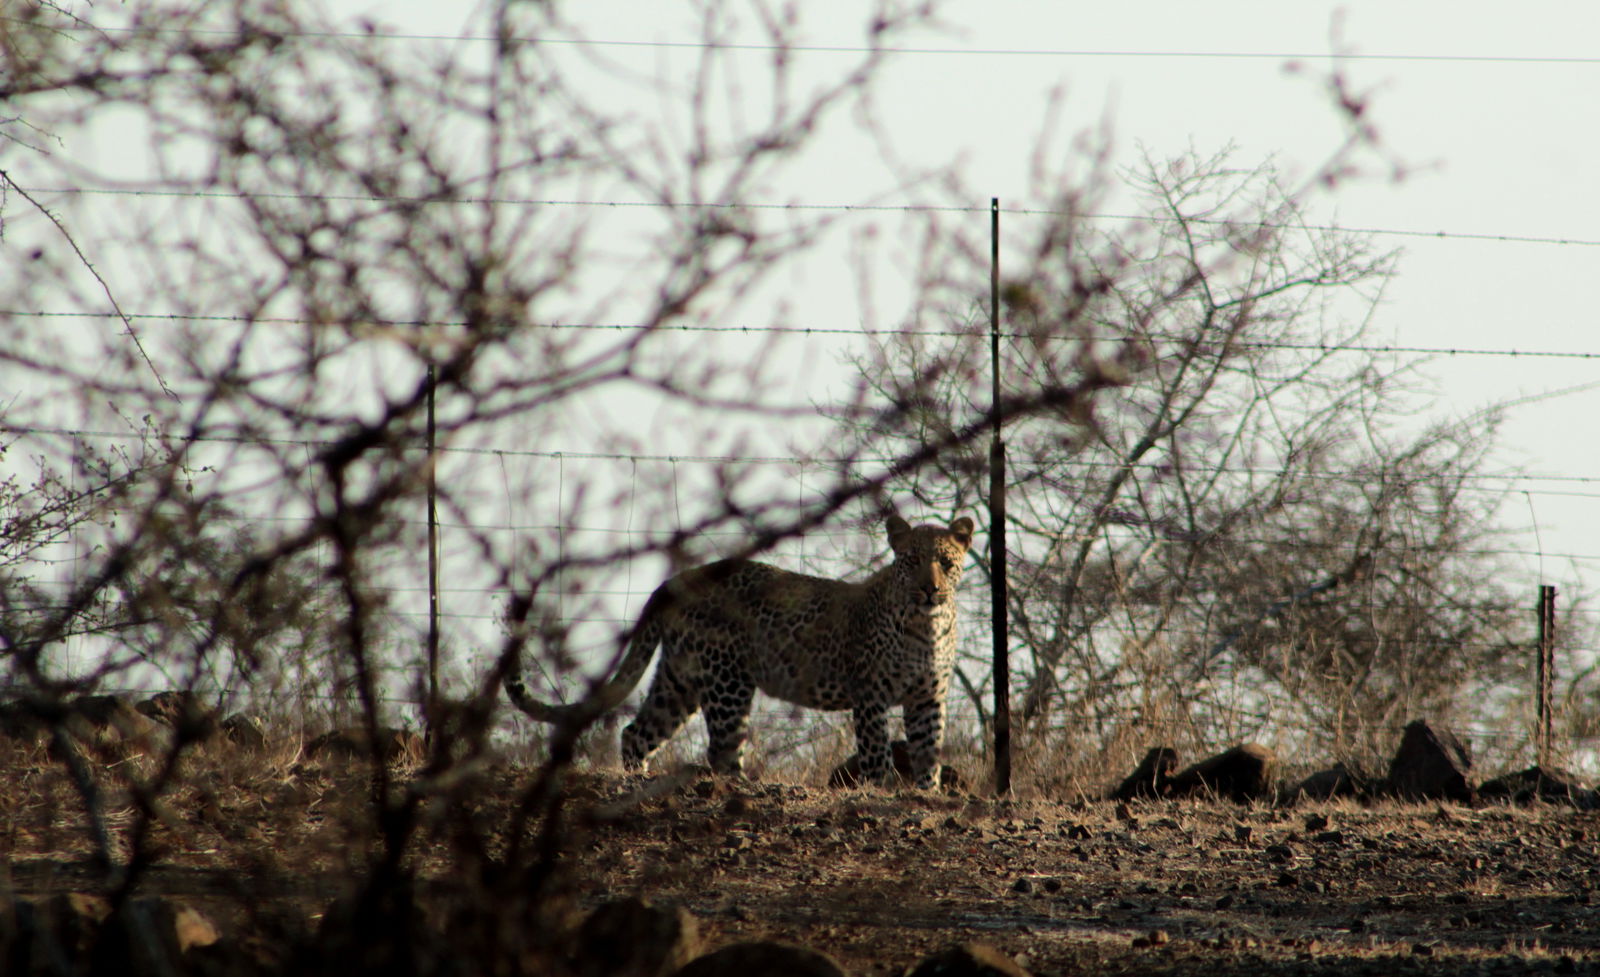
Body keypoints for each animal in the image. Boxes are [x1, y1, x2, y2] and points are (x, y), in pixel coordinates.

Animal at [505, 514, 975, 788]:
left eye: (945, 562)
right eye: (911, 561)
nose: (930, 588)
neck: (927, 626)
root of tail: (677, 578)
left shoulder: (928, 697)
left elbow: (929, 752)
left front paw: (926, 795)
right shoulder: (871, 695)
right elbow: (877, 753)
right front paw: (879, 793)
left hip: (680, 678)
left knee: (637, 732)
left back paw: (639, 781)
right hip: (726, 681)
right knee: (722, 751)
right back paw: (743, 789)